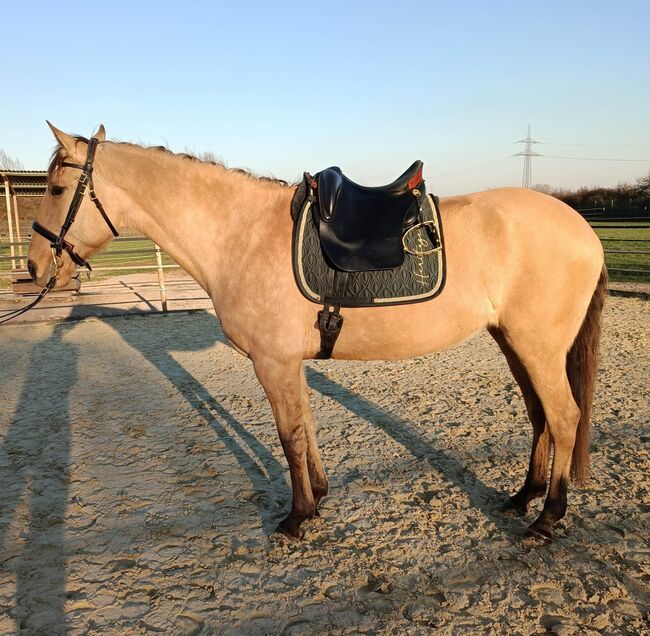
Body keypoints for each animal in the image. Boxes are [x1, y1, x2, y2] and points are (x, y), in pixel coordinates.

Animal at [24, 124, 604, 540]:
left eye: (56, 187)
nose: (33, 267)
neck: (240, 234)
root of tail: (583, 229)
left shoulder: (273, 362)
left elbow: (289, 435)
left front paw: (298, 516)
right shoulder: (289, 362)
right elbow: (305, 427)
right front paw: (320, 496)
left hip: (537, 347)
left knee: (565, 416)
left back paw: (547, 519)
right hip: (515, 344)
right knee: (541, 416)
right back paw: (523, 497)